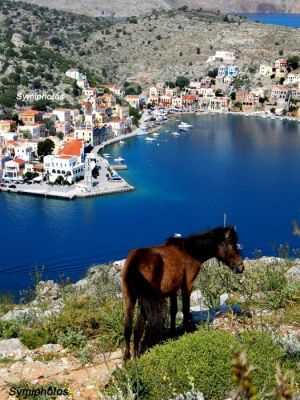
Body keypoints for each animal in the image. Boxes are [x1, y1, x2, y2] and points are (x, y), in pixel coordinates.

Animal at [122, 227, 244, 360]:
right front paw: (186, 330)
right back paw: (136, 357)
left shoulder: (173, 289)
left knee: (127, 327)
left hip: (129, 297)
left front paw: (172, 332)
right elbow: (185, 308)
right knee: (138, 328)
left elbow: (174, 310)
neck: (189, 251)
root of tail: (135, 262)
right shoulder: (187, 284)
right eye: (232, 245)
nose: (241, 267)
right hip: (146, 300)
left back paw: (127, 357)